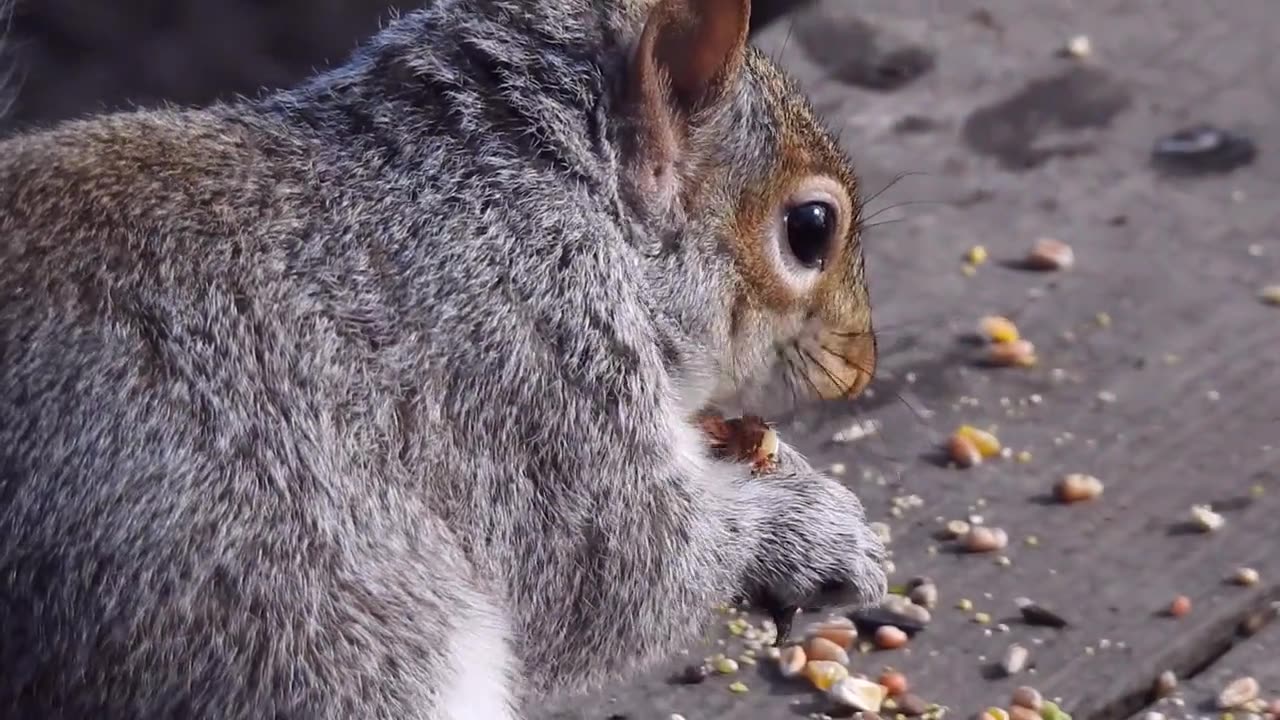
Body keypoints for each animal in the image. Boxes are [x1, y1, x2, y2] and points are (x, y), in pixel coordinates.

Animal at [0, 1, 885, 717]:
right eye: (810, 228)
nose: (860, 368)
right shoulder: (527, 374)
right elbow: (628, 571)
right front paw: (812, 530)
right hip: (294, 630)